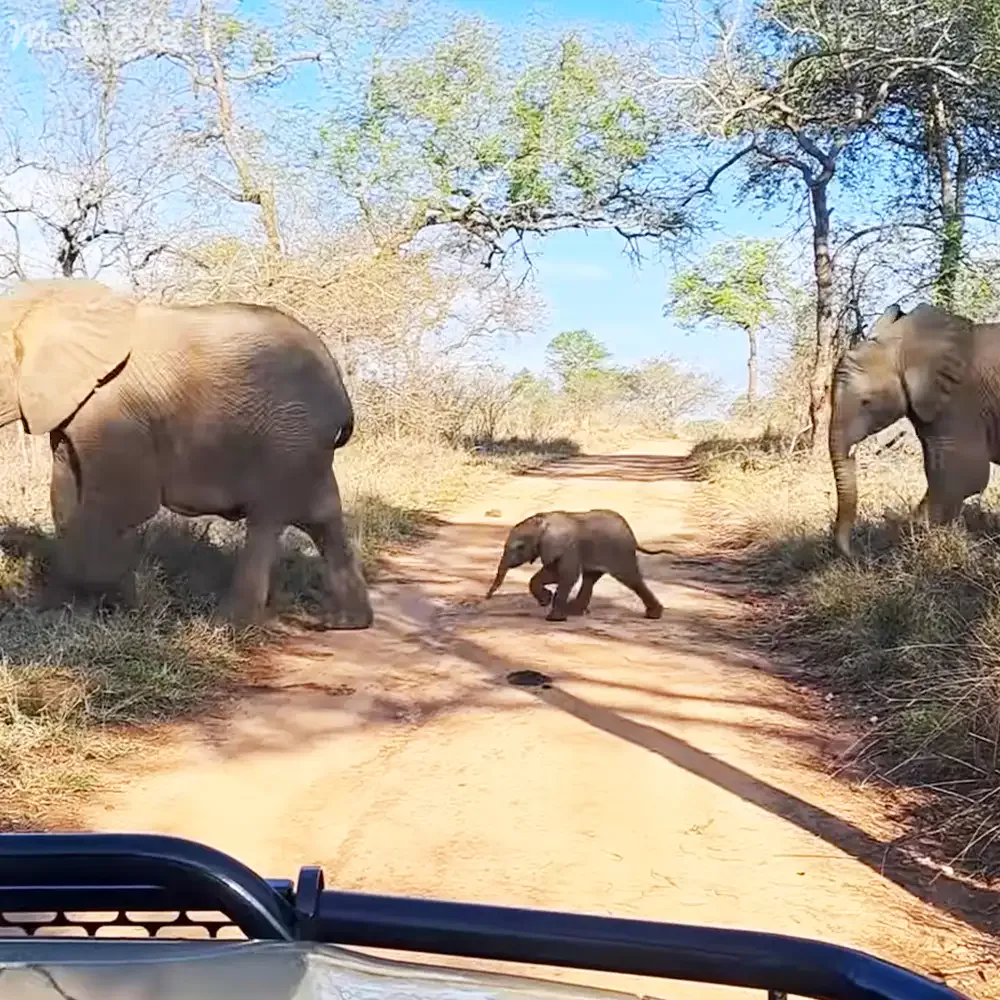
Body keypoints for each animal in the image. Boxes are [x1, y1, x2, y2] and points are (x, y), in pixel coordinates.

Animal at [0, 278, 373, 629]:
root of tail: (343, 396)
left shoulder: (117, 412)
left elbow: (125, 503)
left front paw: (70, 610)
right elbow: (65, 497)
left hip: (289, 438)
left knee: (267, 519)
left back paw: (228, 624)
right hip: (305, 446)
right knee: (323, 518)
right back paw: (347, 622)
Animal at [484, 509, 665, 622]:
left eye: (520, 547)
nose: (486, 597)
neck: (544, 521)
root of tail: (631, 533)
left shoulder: (568, 548)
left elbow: (566, 575)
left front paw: (554, 618)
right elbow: (550, 574)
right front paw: (546, 600)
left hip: (619, 551)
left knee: (630, 578)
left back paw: (653, 615)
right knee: (590, 579)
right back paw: (575, 612)